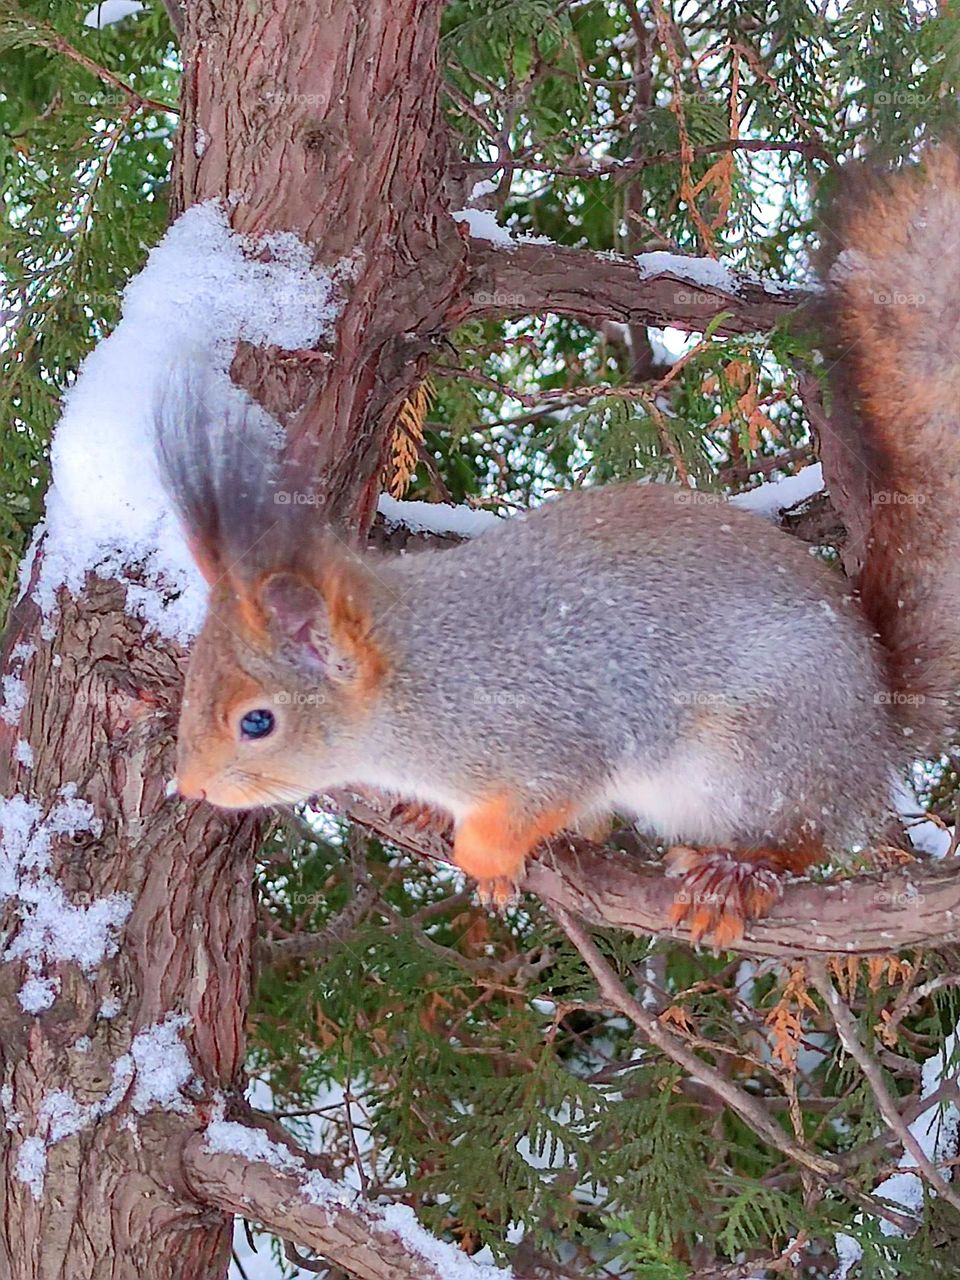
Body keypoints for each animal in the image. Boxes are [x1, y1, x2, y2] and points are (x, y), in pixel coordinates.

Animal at [154, 142, 960, 942]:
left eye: (257, 722)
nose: (190, 784)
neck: (415, 683)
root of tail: (875, 729)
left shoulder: (548, 736)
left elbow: (543, 796)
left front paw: (482, 851)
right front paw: (434, 817)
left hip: (757, 761)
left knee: (807, 835)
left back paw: (737, 874)